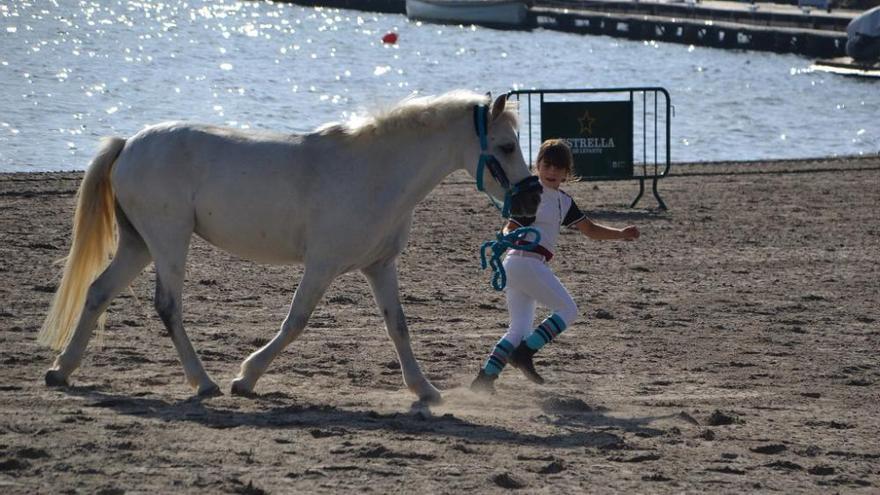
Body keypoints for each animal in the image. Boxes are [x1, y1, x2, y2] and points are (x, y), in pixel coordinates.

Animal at [37, 91, 540, 404]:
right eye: (505, 145)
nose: (532, 200)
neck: (374, 171)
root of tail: (129, 144)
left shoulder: (380, 266)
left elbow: (398, 326)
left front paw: (424, 390)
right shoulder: (322, 265)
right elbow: (296, 321)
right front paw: (246, 377)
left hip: (139, 244)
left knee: (99, 292)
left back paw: (62, 371)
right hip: (168, 240)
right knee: (167, 306)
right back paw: (203, 382)